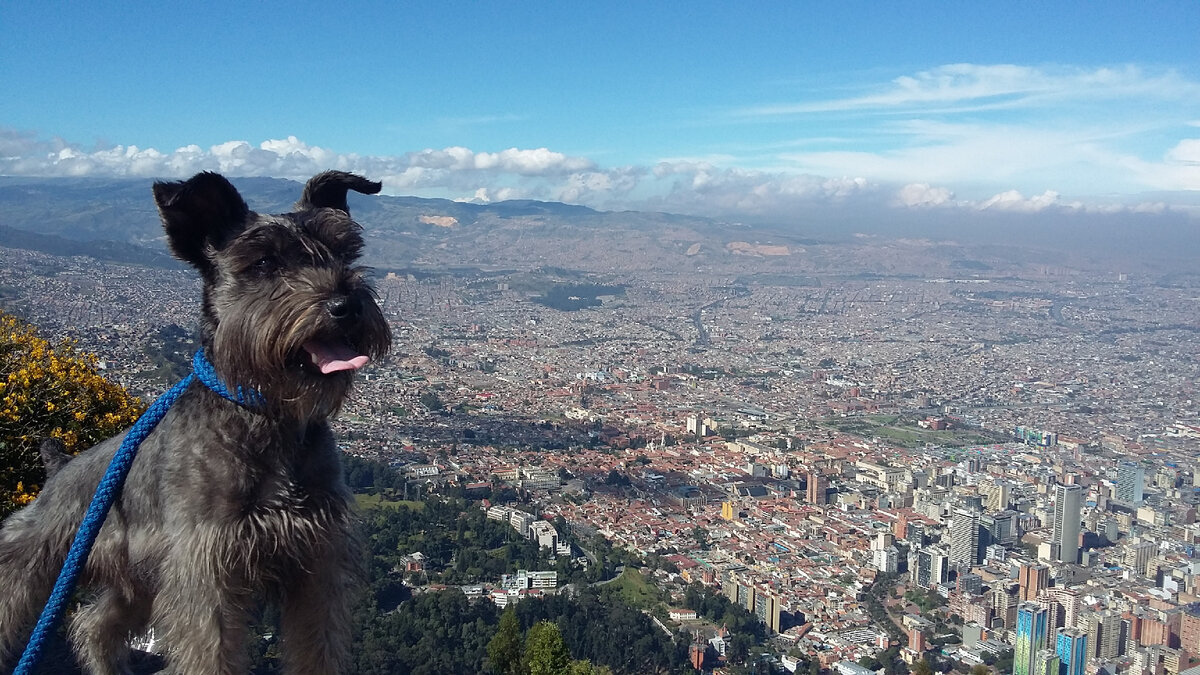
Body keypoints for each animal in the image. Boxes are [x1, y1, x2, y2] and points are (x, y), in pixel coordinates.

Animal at [0, 171, 391, 674]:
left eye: (343, 252)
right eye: (264, 262)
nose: (347, 304)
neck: (266, 417)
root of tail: (59, 466)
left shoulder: (316, 566)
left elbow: (317, 648)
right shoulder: (206, 574)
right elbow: (210, 653)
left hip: (138, 583)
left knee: (93, 625)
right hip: (37, 558)